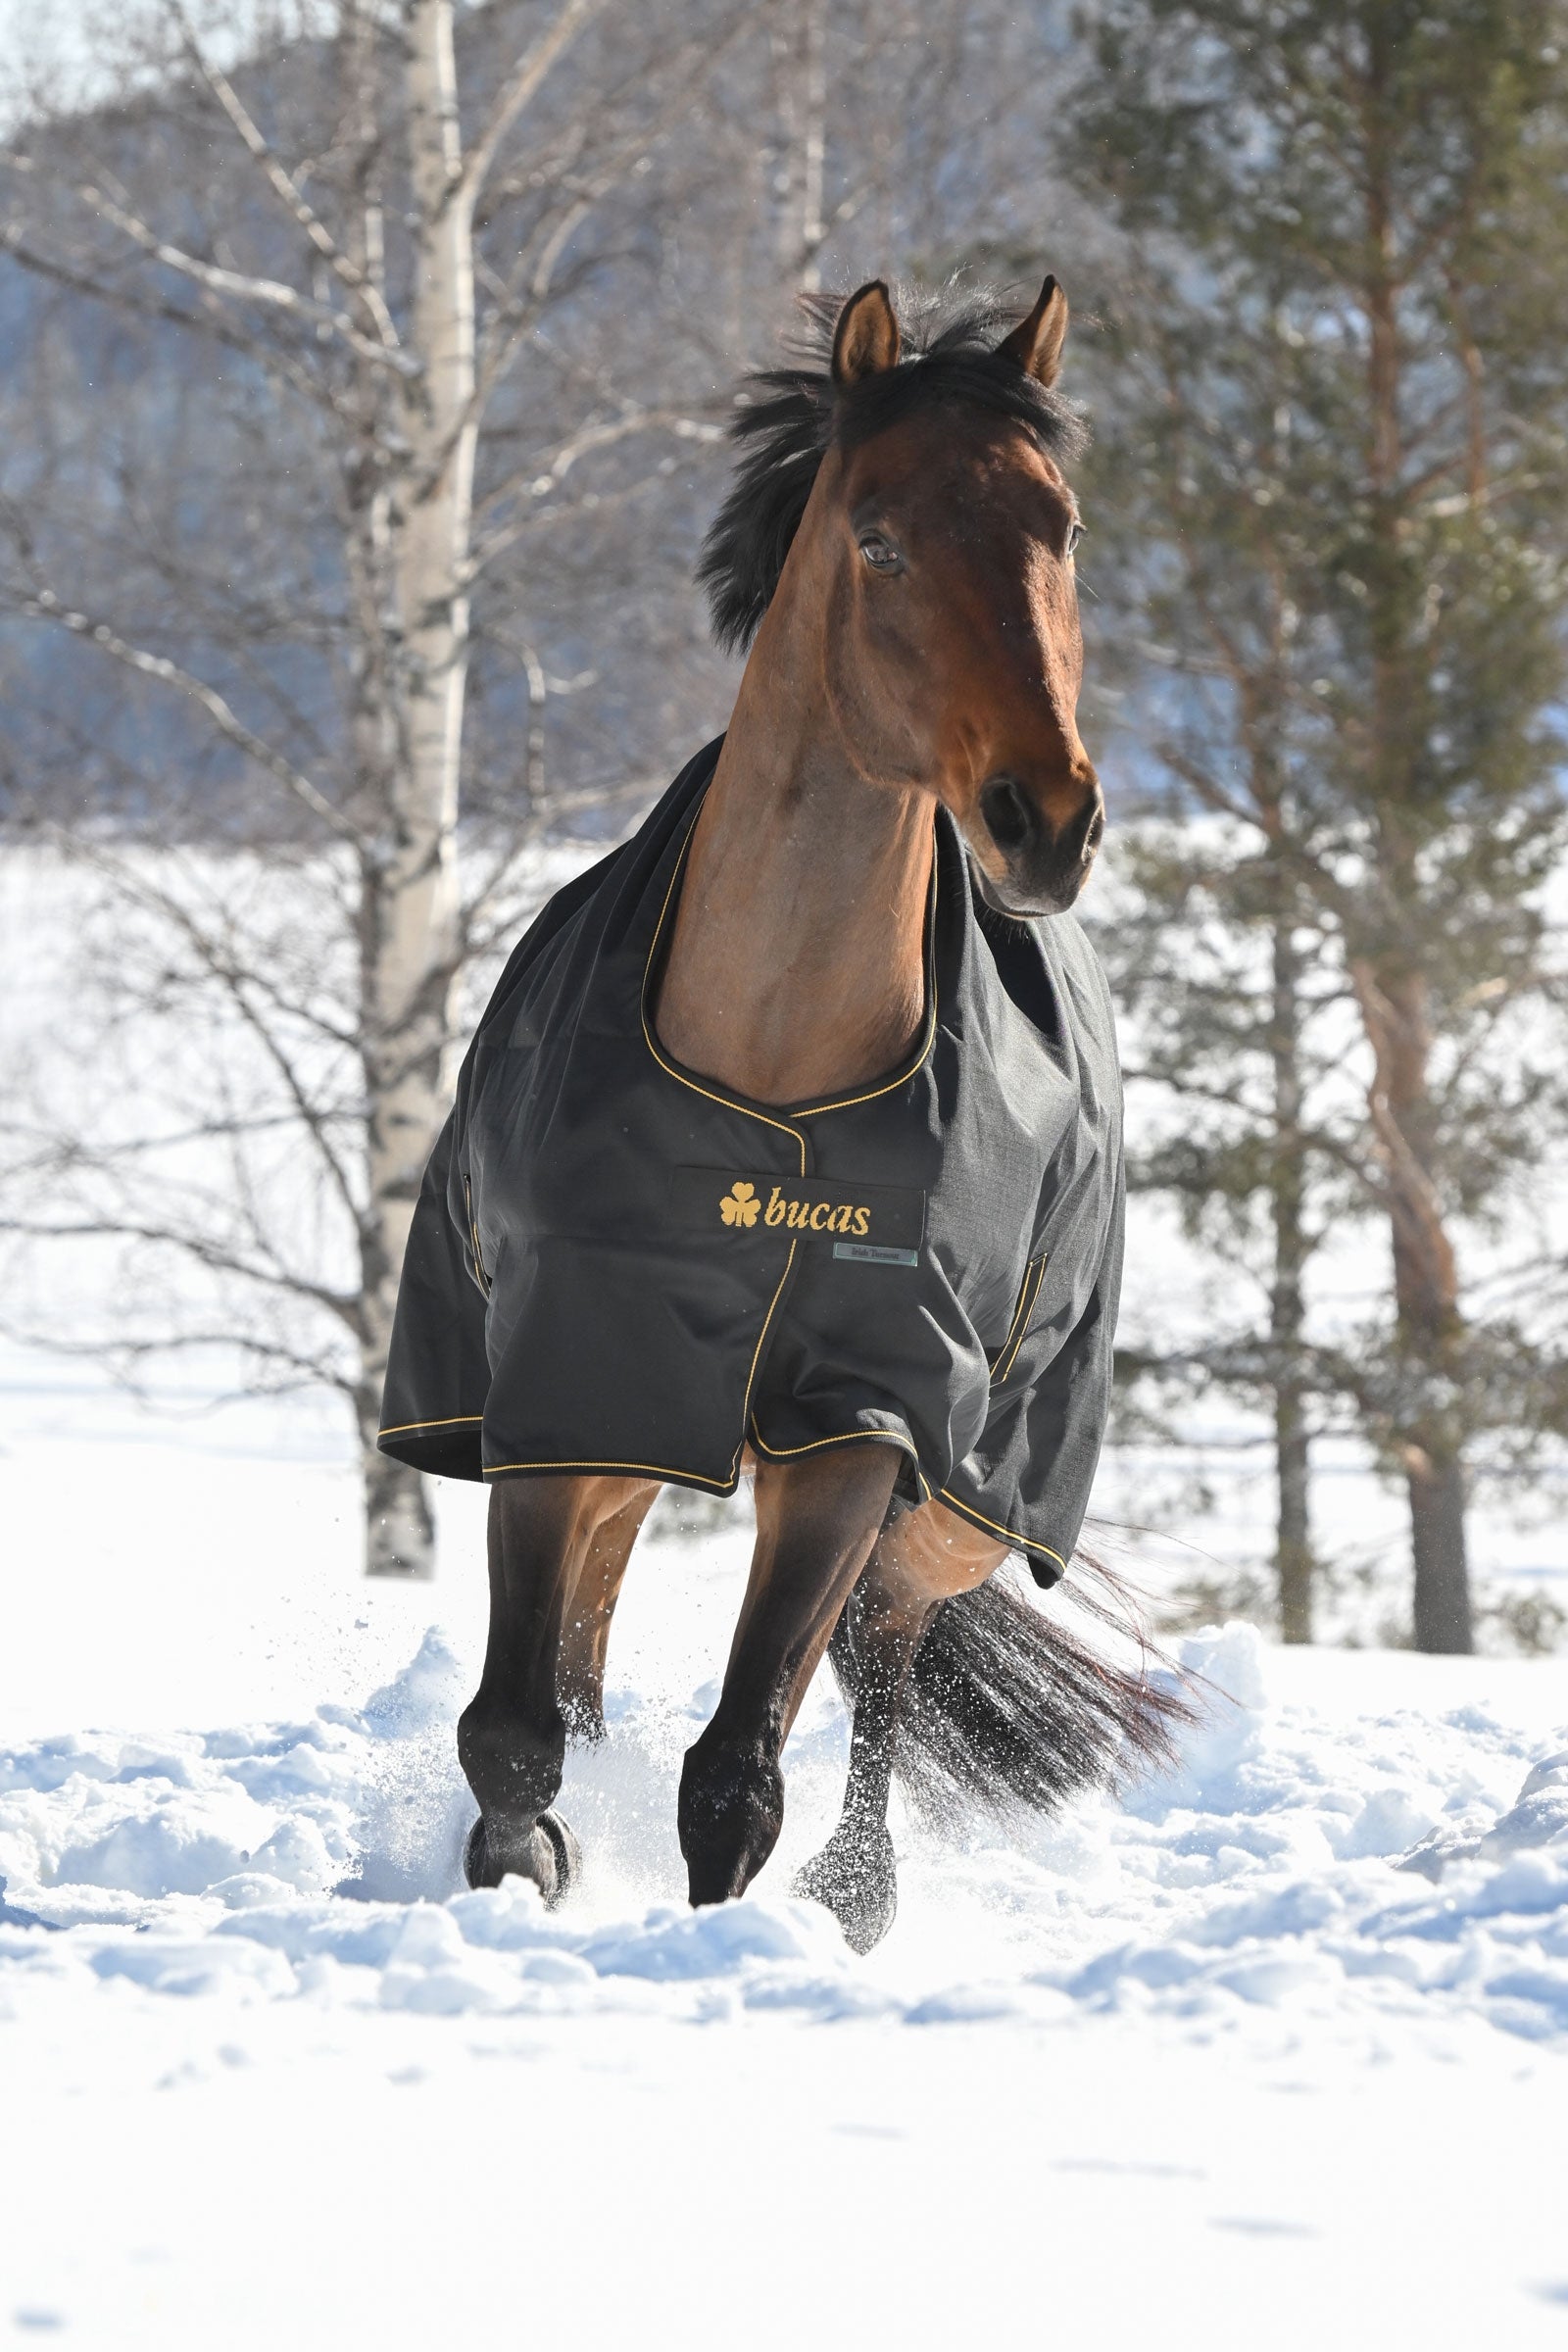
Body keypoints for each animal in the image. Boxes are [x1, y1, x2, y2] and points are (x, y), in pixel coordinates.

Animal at [378, 273, 1188, 1953]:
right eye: (878, 539)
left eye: (1064, 526)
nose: (1046, 821)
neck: (774, 1072)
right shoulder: (575, 1381)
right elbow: (516, 1729)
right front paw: (524, 1873)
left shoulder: (862, 1417)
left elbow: (742, 1765)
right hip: (634, 1452)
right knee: (591, 1659)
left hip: (964, 1501)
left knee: (878, 1661)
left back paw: (854, 1900)